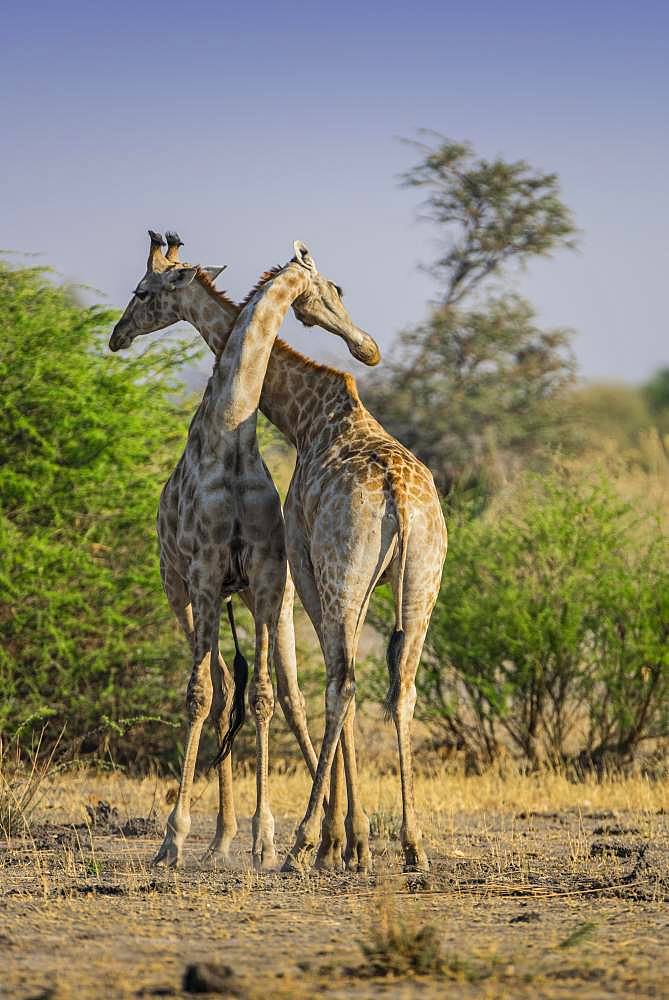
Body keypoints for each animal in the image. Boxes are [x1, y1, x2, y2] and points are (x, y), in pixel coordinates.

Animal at [111, 230, 444, 872]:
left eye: (142, 292)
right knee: (398, 690)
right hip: (421, 585)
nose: (368, 349)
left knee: (329, 686)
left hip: (325, 582)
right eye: (337, 286)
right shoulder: (276, 579)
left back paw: (299, 841)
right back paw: (410, 844)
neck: (302, 415)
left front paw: (334, 839)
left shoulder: (295, 574)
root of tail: (398, 497)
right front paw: (349, 841)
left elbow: (292, 691)